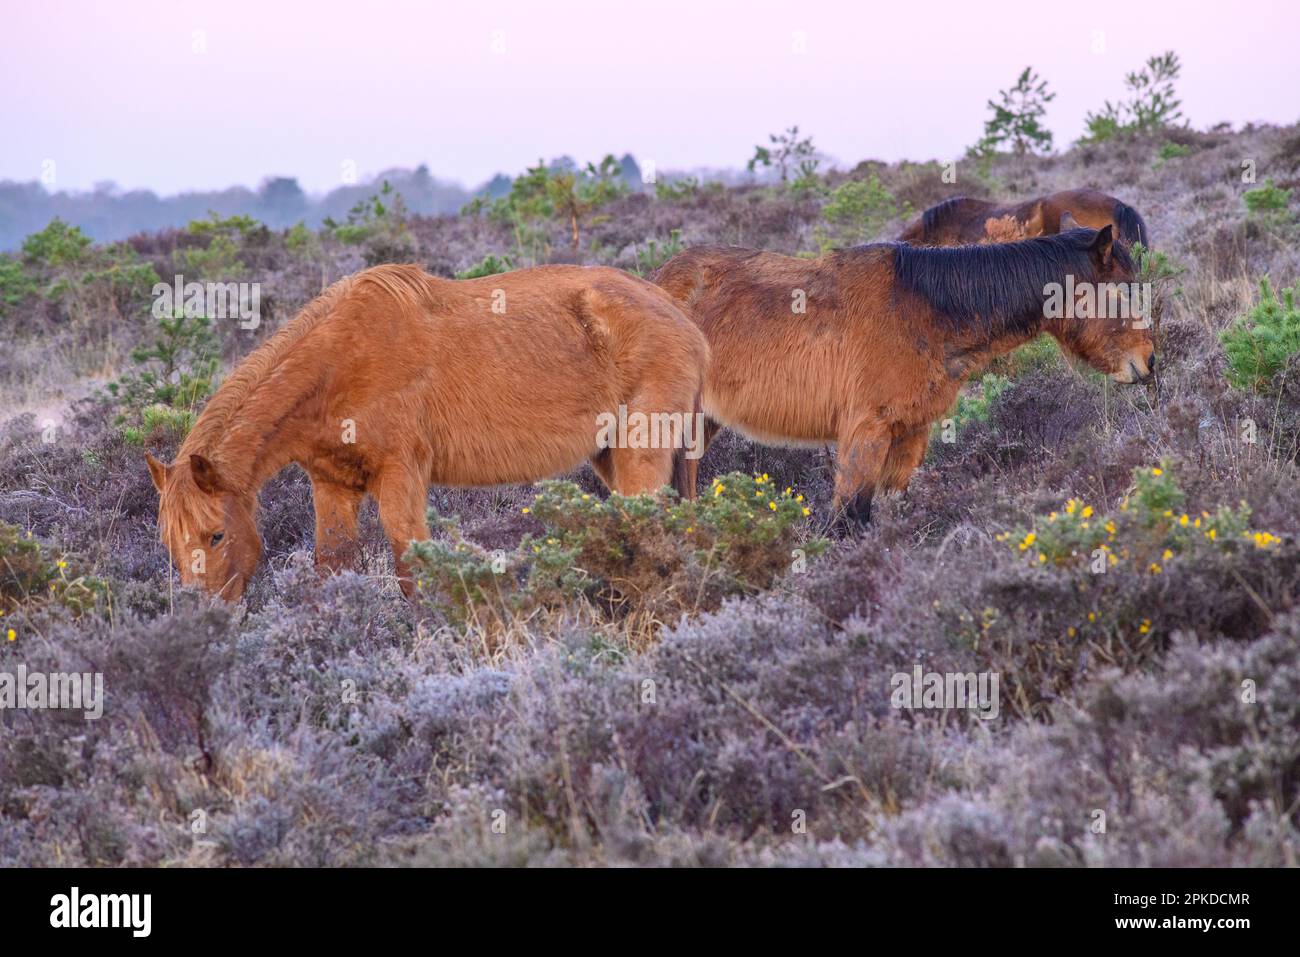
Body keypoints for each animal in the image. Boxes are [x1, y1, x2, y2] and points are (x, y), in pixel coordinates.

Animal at [148, 261, 712, 598]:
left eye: (216, 534)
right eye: (169, 542)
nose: (206, 617)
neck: (339, 363)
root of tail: (680, 314)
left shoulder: (401, 478)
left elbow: (412, 571)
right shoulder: (332, 487)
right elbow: (333, 567)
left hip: (640, 453)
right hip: (609, 455)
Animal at [655, 226, 1154, 522]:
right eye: (1121, 291)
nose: (1148, 362)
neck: (924, 311)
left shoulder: (910, 433)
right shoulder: (866, 432)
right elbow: (849, 519)